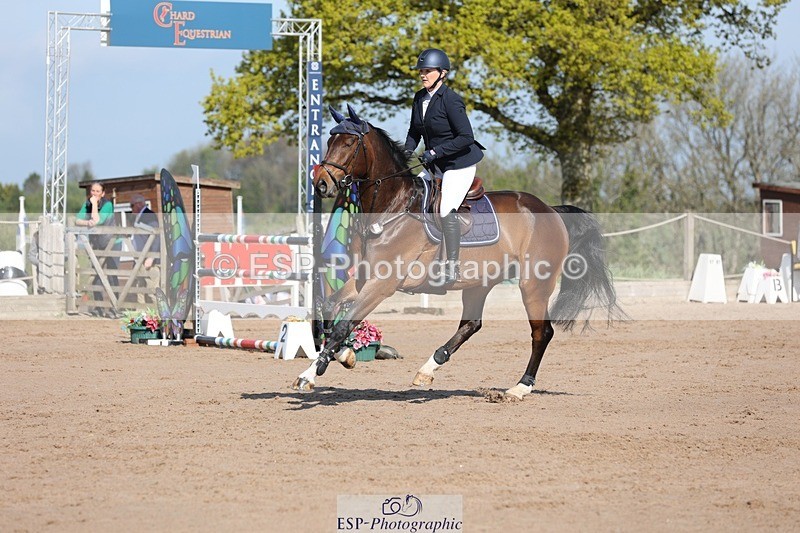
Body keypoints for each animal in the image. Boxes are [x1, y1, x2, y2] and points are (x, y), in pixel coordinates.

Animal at [292, 105, 622, 399]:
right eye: (329, 142)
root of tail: (551, 210)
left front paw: (309, 375)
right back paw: (428, 369)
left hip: (534, 284)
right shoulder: (363, 279)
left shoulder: (383, 284)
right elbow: (331, 307)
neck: (393, 206)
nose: (320, 184)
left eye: (348, 143)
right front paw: (340, 356)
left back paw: (520, 388)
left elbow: (344, 323)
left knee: (542, 333)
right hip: (480, 282)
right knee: (471, 324)